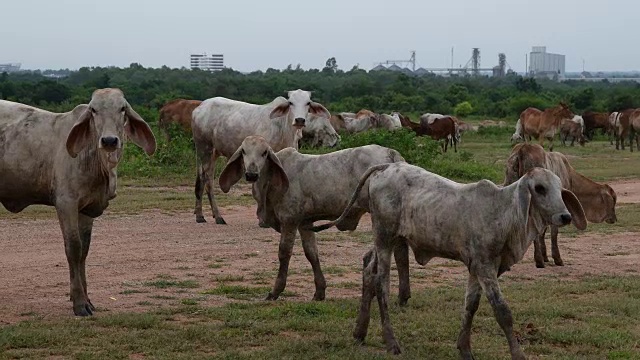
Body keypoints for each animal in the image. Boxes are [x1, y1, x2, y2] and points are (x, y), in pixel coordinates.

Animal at [0, 89, 158, 316]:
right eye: (93, 110)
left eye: (122, 108)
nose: (109, 140)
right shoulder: (66, 203)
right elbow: (73, 248)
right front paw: (79, 302)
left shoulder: (87, 209)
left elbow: (84, 251)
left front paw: (88, 299)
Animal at [190, 89, 330, 225]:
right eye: (290, 102)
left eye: (308, 103)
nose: (299, 120)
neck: (284, 127)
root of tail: (199, 107)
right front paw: (263, 219)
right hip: (205, 149)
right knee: (208, 179)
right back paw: (217, 216)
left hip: (212, 153)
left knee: (202, 178)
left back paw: (200, 215)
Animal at [218, 136, 408, 302]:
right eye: (244, 151)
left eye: (264, 153)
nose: (251, 174)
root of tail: (392, 154)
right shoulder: (305, 223)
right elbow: (311, 253)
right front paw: (320, 291)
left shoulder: (290, 220)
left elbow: (284, 253)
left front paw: (275, 291)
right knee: (400, 250)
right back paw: (402, 296)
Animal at [308, 163, 584, 358]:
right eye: (540, 188)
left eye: (559, 189)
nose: (565, 216)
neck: (503, 212)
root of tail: (385, 167)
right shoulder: (485, 266)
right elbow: (502, 311)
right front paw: (518, 354)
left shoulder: (476, 268)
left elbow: (471, 306)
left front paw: (465, 349)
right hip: (385, 237)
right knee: (380, 283)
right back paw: (391, 342)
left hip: (389, 239)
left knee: (368, 268)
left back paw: (359, 333)